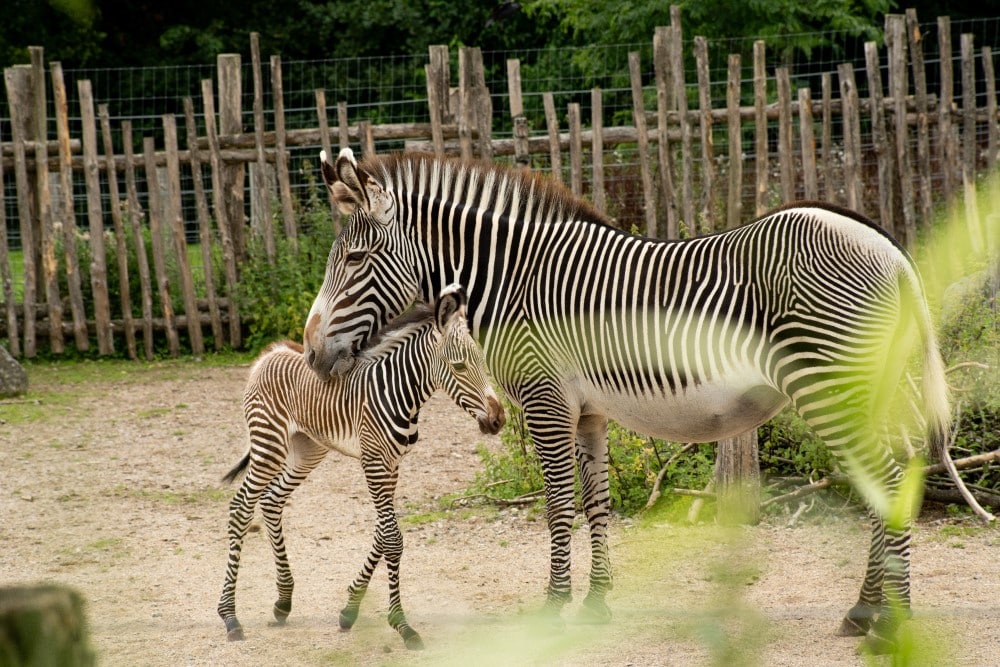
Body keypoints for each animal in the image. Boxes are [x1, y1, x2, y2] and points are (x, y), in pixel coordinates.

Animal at [216, 284, 504, 648]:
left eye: (481, 362)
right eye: (460, 366)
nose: (498, 420)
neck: (400, 393)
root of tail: (271, 353)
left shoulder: (392, 464)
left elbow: (383, 533)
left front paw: (350, 609)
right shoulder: (374, 462)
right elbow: (392, 538)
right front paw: (402, 625)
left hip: (307, 450)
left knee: (271, 501)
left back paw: (283, 602)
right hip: (269, 443)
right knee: (241, 507)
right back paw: (230, 616)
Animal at [304, 149, 952, 648]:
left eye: (355, 259)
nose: (311, 353)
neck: (518, 281)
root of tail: (891, 250)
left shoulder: (545, 401)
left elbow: (558, 507)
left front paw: (553, 608)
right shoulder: (588, 412)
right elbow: (596, 503)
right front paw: (596, 602)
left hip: (832, 385)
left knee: (888, 479)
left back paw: (893, 623)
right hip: (867, 387)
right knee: (893, 475)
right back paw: (864, 612)